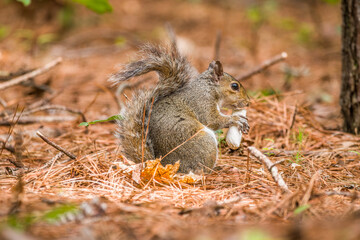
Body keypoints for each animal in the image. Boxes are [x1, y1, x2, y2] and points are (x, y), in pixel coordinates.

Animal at [110, 42, 250, 172]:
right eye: (234, 86)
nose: (248, 102)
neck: (208, 88)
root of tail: (163, 165)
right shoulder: (202, 102)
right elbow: (212, 120)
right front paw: (236, 119)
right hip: (203, 142)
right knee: (201, 170)